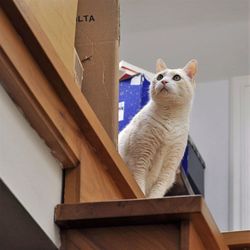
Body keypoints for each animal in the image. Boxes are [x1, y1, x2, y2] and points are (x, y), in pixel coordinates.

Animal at [117, 58, 197, 197]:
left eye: (177, 77)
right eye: (160, 76)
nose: (163, 81)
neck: (170, 118)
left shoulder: (168, 169)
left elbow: (157, 192)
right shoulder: (140, 159)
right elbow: (139, 184)